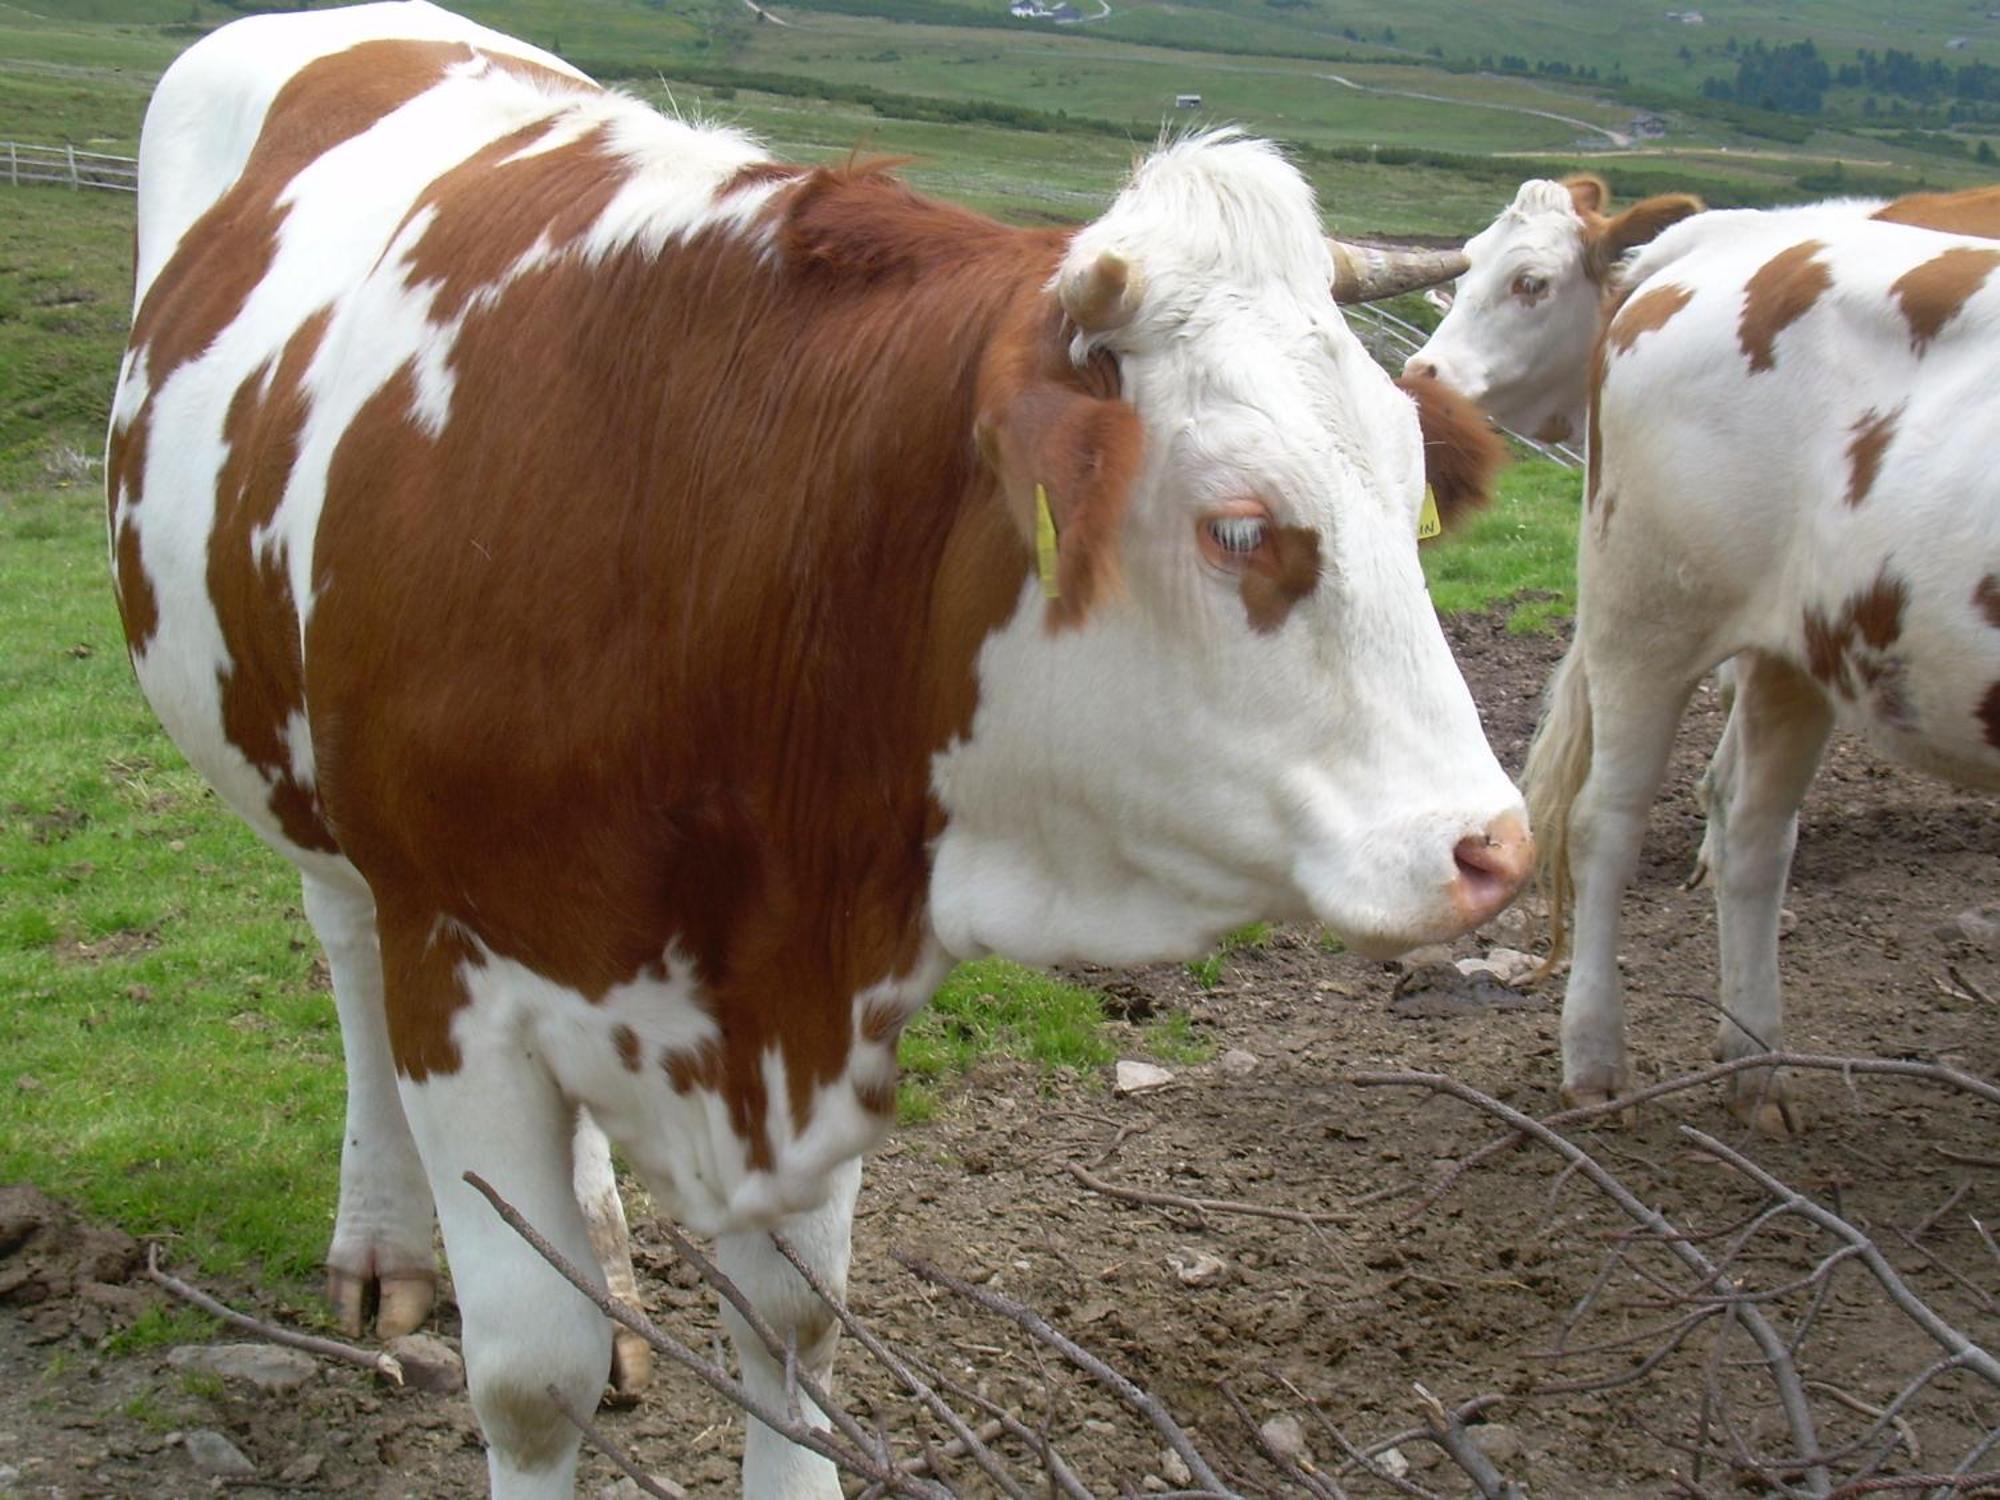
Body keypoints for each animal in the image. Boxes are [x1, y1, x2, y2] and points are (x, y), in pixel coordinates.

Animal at [113, 5, 1528, 1496]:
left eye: (1411, 492)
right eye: (1238, 526)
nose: (1491, 845)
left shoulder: (814, 980)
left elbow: (793, 1331)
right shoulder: (454, 972)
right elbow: (530, 1380)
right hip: (306, 792)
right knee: (339, 934)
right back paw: (384, 1237)